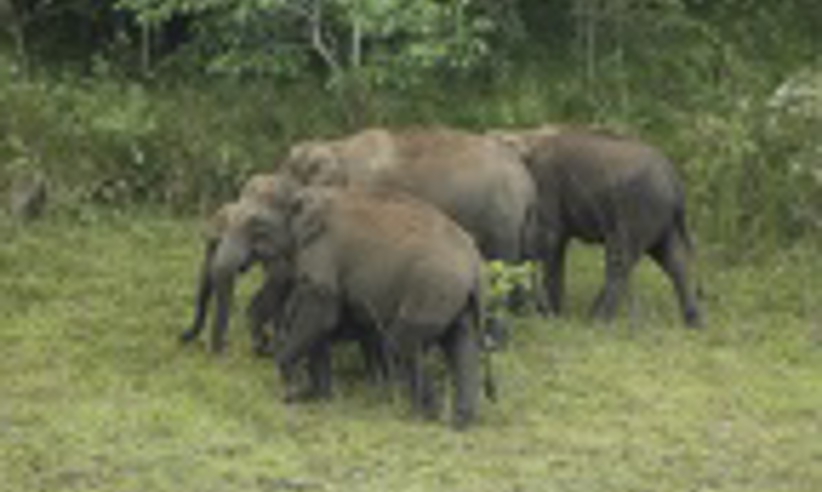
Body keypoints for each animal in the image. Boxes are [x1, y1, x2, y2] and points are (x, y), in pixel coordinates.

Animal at [205, 176, 494, 428]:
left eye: (256, 224)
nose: (222, 352)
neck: (303, 191)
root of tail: (476, 266)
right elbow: (320, 324)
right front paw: (316, 396)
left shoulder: (323, 252)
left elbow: (322, 313)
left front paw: (291, 392)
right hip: (456, 300)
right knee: (461, 344)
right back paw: (460, 421)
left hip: (432, 291)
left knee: (403, 343)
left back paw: (423, 415)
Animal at [490, 125, 703, 327]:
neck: (525, 136)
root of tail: (676, 182)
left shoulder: (545, 189)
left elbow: (545, 242)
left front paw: (547, 315)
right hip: (661, 217)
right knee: (672, 259)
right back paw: (694, 323)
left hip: (641, 208)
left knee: (620, 259)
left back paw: (597, 320)